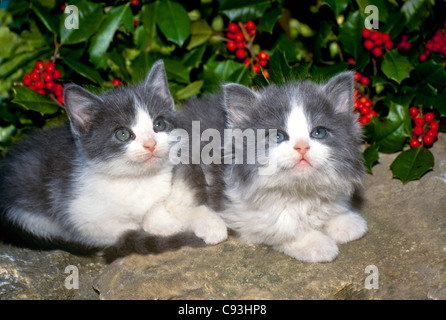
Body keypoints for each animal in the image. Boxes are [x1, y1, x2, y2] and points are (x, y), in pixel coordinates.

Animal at [0, 60, 228, 255]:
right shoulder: (78, 214)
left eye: (159, 124)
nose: (150, 144)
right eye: (123, 134)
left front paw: (176, 222)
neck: (135, 180)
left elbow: (160, 206)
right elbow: (118, 228)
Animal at [220, 73, 370, 262]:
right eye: (278, 136)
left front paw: (343, 221)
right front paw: (315, 244)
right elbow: (280, 227)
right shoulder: (242, 212)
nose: (302, 147)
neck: (298, 191)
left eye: (318, 133)